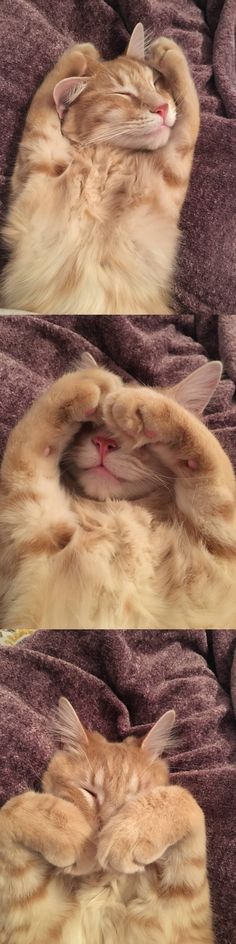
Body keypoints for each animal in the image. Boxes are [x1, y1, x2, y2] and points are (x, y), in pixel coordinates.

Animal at [0, 22, 199, 316]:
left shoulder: (170, 171)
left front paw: (169, 52)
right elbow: (41, 107)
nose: (162, 108)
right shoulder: (37, 162)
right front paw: (80, 54)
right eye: (123, 94)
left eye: (155, 82)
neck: (105, 160)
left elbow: (189, 115)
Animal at [0, 350, 236, 632]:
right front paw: (90, 380)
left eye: (142, 442)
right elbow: (30, 436)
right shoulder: (32, 517)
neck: (115, 510)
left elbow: (208, 451)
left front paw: (140, 402)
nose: (104, 442)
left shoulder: (223, 532)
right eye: (91, 427)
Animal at [0, 696, 215, 940]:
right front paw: (75, 840)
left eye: (133, 798)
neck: (102, 884)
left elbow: (184, 798)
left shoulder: (184, 908)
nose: (105, 824)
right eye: (89, 792)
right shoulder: (26, 912)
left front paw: (126, 836)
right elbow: (14, 805)